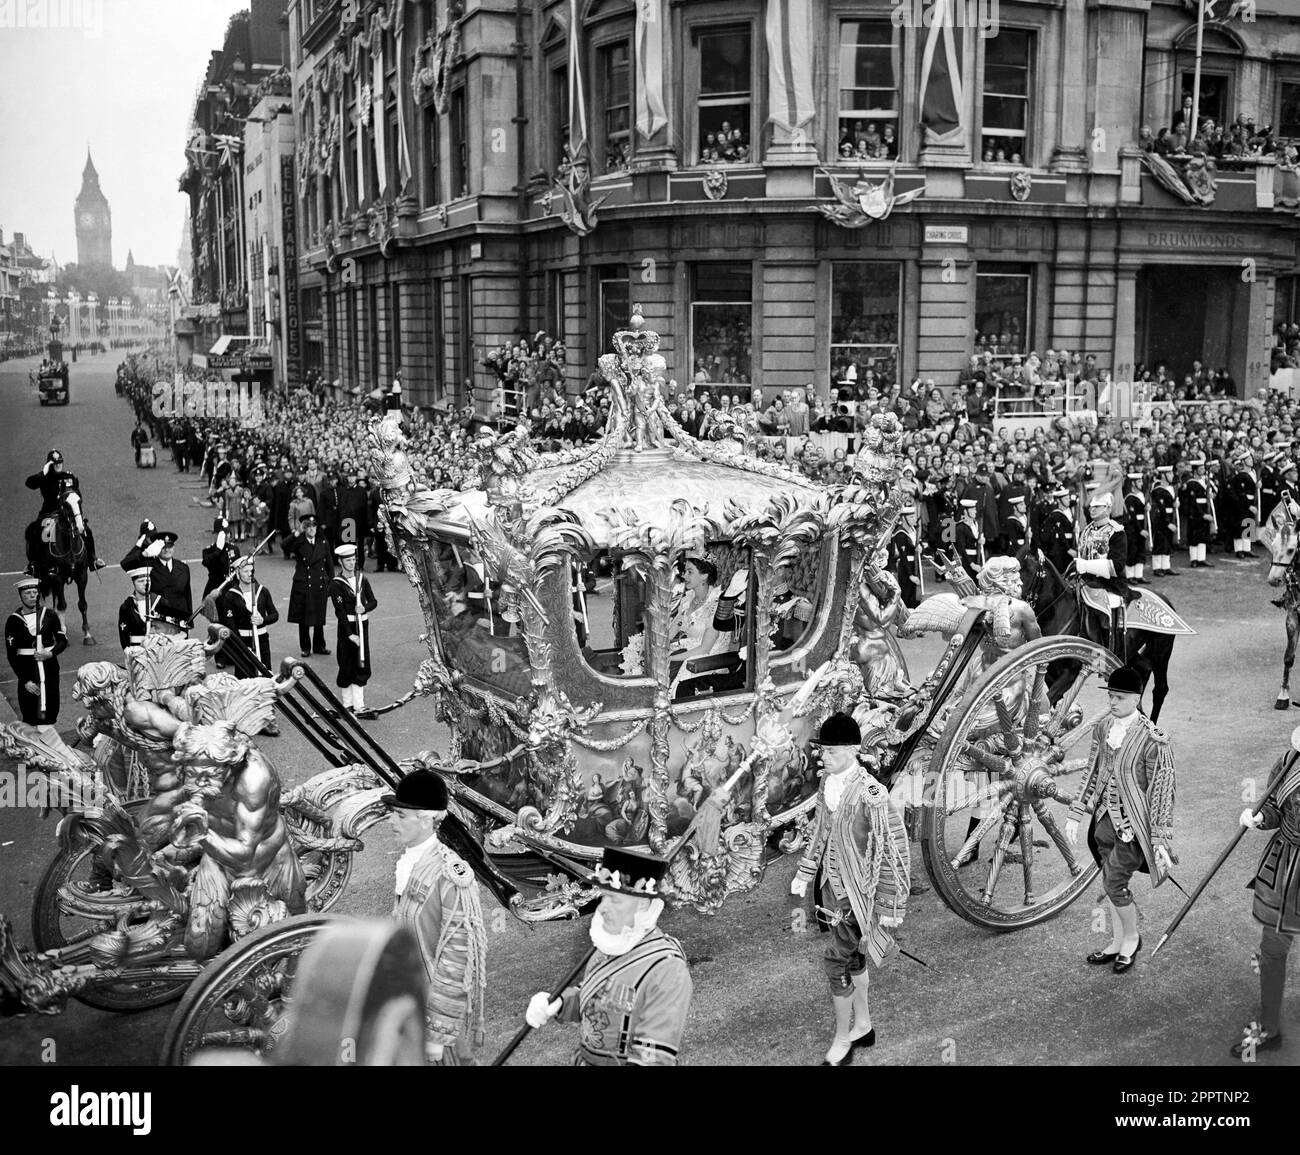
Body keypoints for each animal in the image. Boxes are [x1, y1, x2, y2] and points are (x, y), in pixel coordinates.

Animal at [26, 489, 96, 650]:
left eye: (80, 501)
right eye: (66, 504)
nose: (80, 528)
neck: (69, 546)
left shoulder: (81, 576)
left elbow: (82, 604)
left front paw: (87, 635)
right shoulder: (56, 577)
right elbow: (62, 605)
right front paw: (63, 634)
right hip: (43, 576)